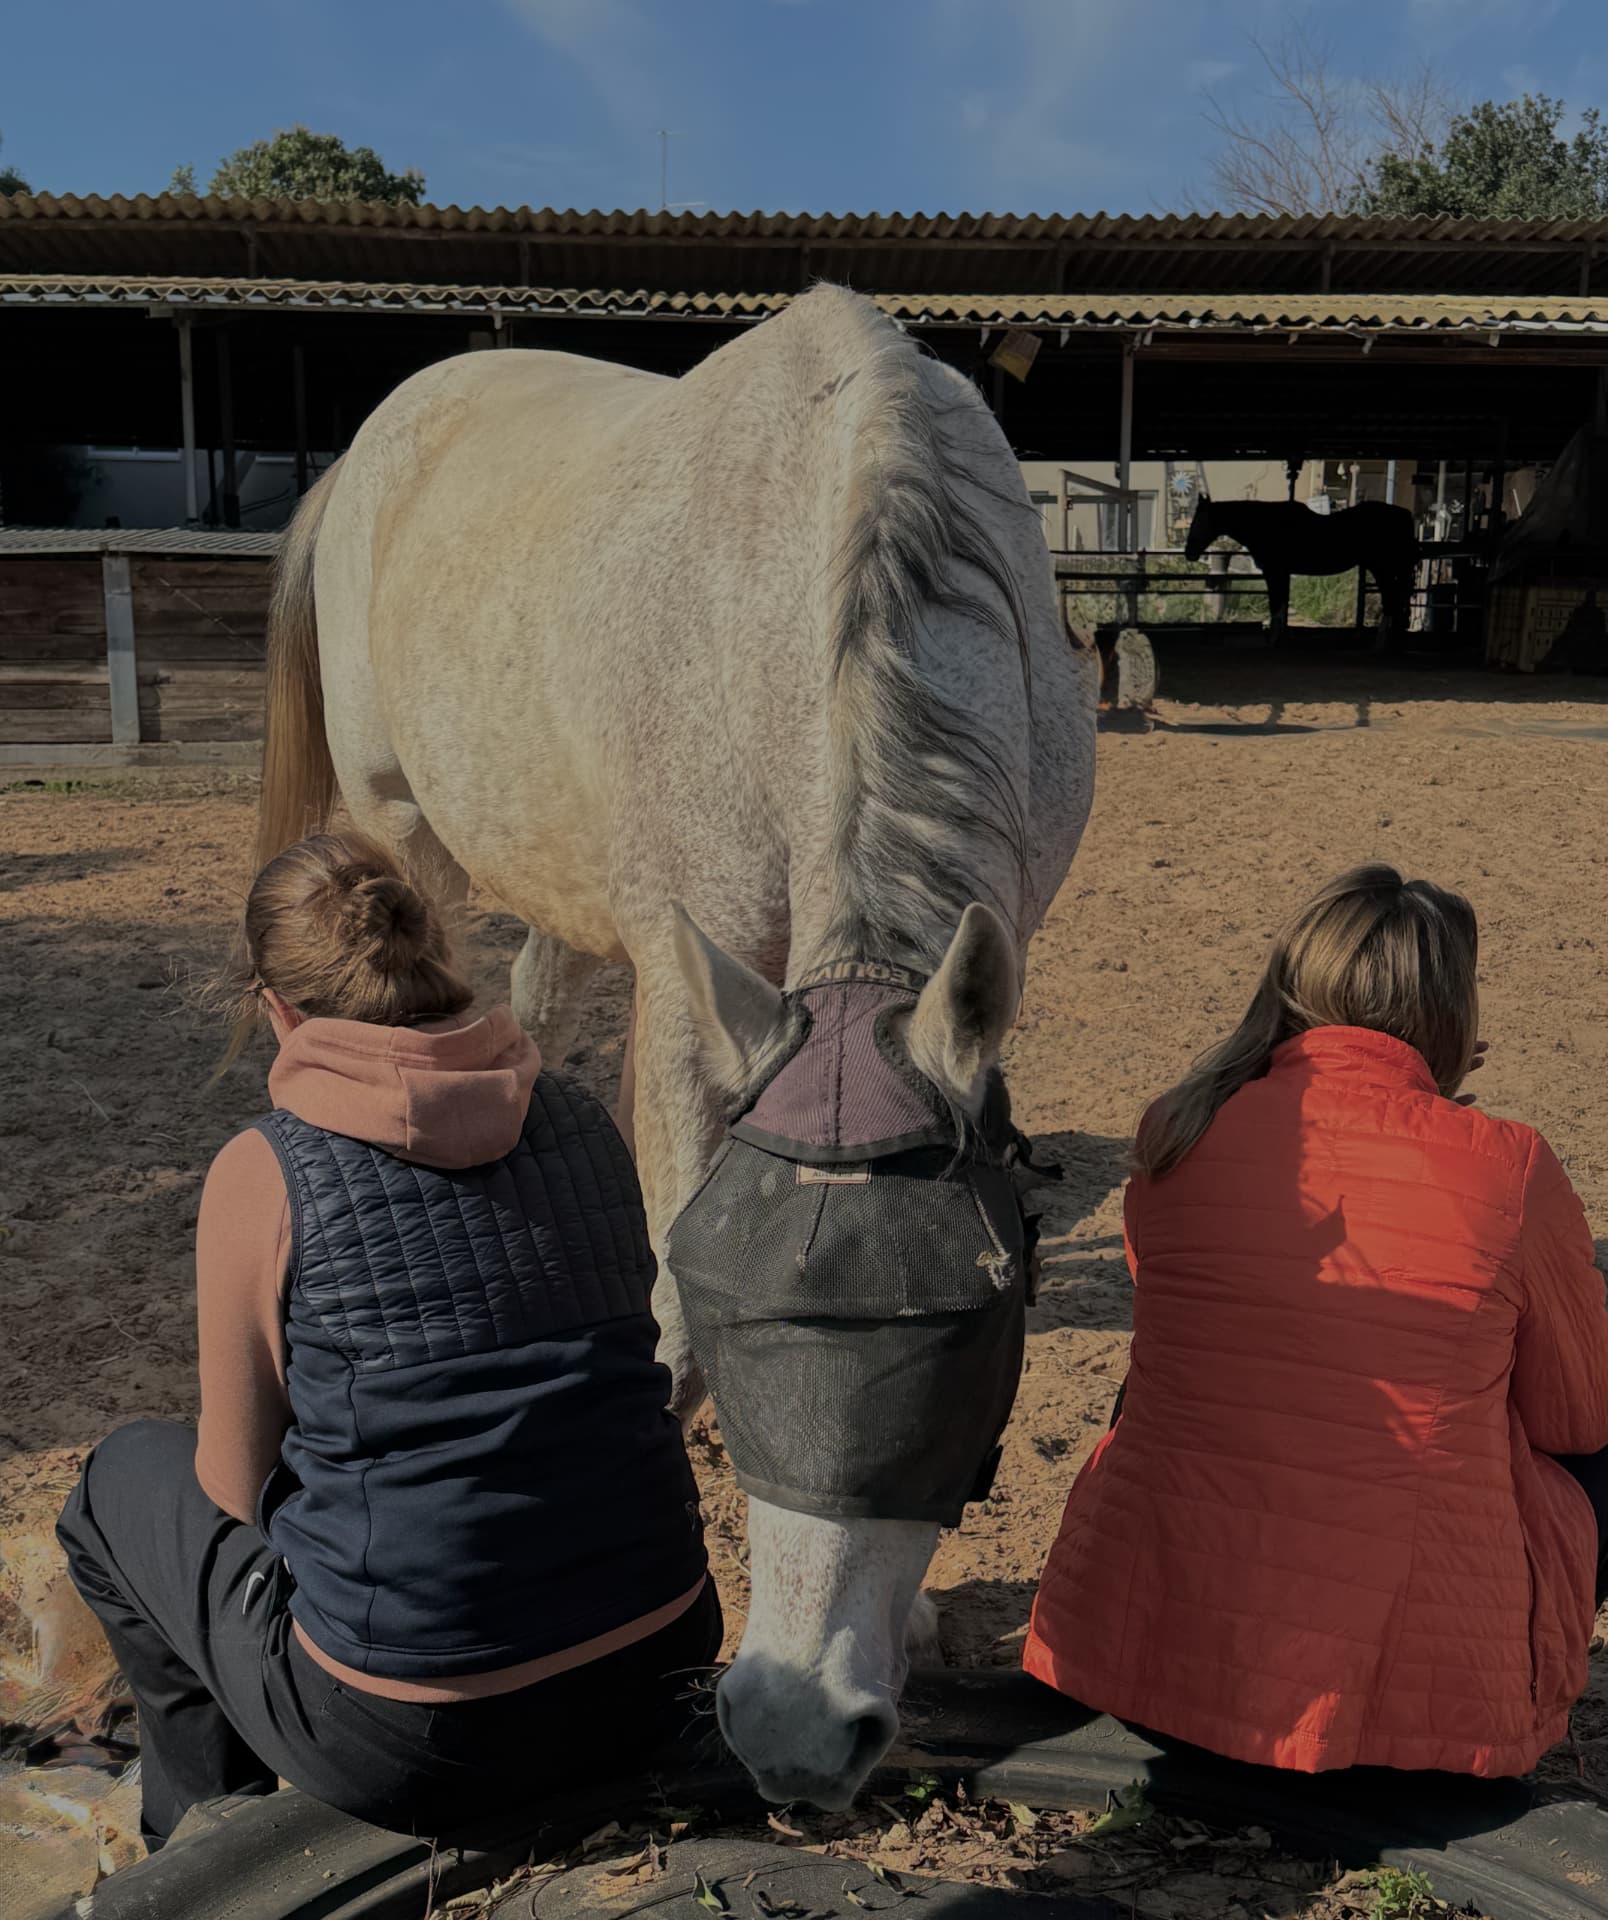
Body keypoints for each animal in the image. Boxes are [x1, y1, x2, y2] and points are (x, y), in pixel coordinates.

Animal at [254, 285, 1099, 1810]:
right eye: (722, 1282)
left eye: (973, 1320)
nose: (796, 1729)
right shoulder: (692, 997)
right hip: (406, 828)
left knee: (531, 1007)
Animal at [1185, 495, 1417, 650]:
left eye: (1199, 521)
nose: (1189, 553)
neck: (1265, 525)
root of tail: (1404, 514)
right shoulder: (1281, 573)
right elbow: (1281, 603)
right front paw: (1280, 637)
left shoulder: (1274, 572)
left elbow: (1275, 603)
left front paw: (1273, 639)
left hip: (1382, 569)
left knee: (1391, 600)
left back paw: (1379, 644)